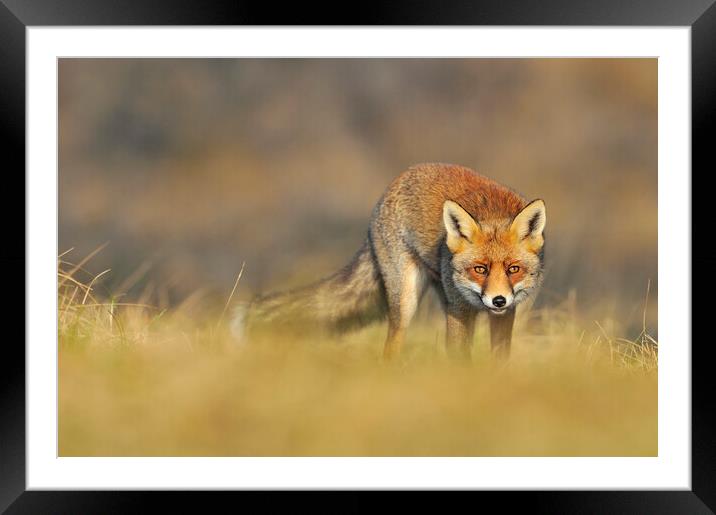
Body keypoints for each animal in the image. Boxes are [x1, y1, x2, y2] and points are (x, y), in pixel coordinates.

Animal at [232, 163, 544, 360]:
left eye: (513, 269)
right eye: (480, 269)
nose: (498, 300)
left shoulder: (504, 314)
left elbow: (499, 359)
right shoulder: (460, 311)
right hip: (405, 302)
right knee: (390, 347)